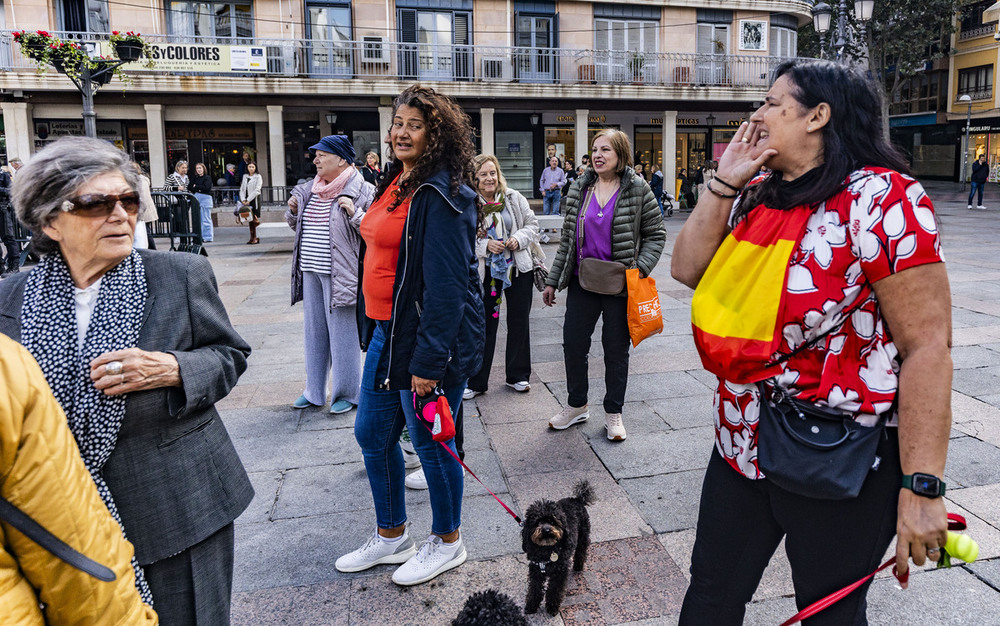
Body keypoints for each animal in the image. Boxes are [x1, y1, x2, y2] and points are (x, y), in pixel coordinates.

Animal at [520, 480, 596, 612]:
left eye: (552, 521)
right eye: (538, 522)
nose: (546, 530)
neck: (546, 549)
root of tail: (577, 499)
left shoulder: (559, 572)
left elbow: (554, 590)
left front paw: (552, 607)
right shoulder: (536, 571)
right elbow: (534, 589)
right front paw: (531, 606)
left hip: (583, 536)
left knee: (581, 551)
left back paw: (578, 566)